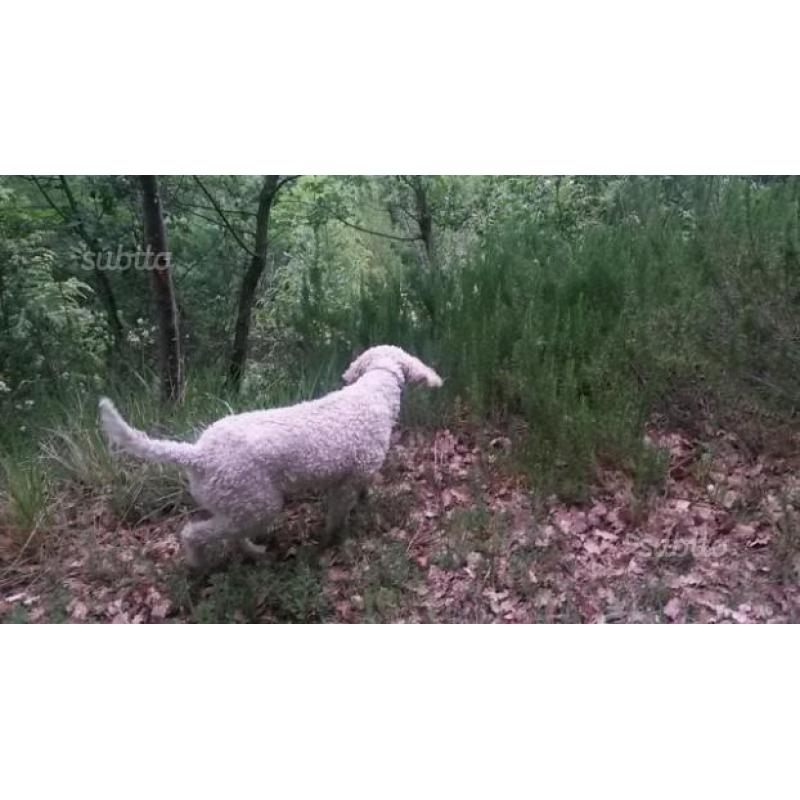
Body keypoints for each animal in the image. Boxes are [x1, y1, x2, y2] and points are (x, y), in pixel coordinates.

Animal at [98, 346, 444, 564]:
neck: (373, 391)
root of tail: (198, 454)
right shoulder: (344, 484)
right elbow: (337, 517)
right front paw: (334, 539)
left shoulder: (350, 477)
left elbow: (360, 493)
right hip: (257, 505)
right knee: (194, 534)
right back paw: (200, 563)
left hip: (239, 506)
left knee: (231, 535)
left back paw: (253, 553)